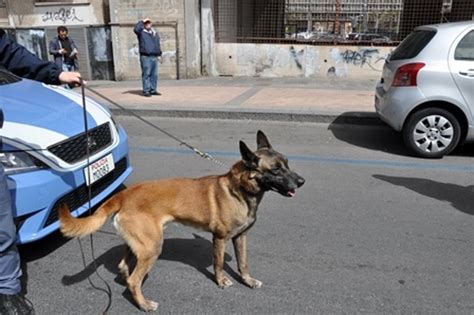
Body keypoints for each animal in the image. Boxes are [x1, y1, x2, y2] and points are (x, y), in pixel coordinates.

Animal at [58, 130, 304, 312]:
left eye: (287, 163)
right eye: (275, 170)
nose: (301, 181)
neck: (240, 191)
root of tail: (124, 194)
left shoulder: (241, 237)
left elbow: (243, 263)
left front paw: (248, 280)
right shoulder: (220, 239)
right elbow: (218, 264)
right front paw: (221, 281)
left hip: (139, 245)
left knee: (124, 269)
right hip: (152, 247)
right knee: (133, 280)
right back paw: (144, 304)